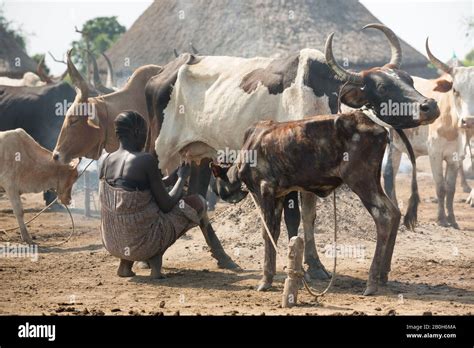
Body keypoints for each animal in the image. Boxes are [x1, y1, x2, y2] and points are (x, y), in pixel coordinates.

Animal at [384, 39, 474, 228]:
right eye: (455, 90)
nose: (469, 121)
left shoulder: (456, 157)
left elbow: (450, 189)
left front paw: (452, 219)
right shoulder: (435, 154)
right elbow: (440, 187)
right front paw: (441, 219)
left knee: (390, 175)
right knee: (387, 175)